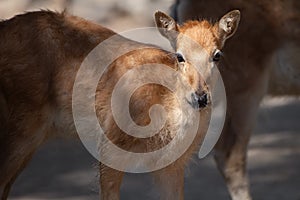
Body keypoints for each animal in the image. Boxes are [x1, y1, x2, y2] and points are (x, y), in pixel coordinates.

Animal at [0, 9, 239, 200]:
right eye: (179, 56)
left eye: (217, 55)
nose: (200, 97)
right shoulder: (110, 143)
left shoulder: (172, 164)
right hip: (24, 120)